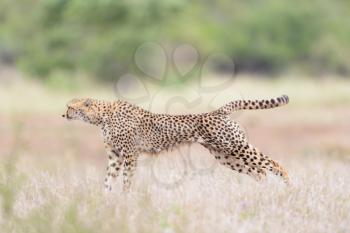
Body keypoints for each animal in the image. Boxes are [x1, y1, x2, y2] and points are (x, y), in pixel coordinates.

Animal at [62, 94, 290, 191]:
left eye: (71, 107)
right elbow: (108, 180)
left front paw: (125, 198)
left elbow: (126, 180)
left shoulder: (129, 154)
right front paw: (106, 200)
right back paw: (261, 194)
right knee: (260, 172)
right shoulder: (115, 155)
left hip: (235, 146)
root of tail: (218, 111)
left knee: (274, 164)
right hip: (225, 155)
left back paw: (289, 187)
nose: (63, 115)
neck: (102, 116)